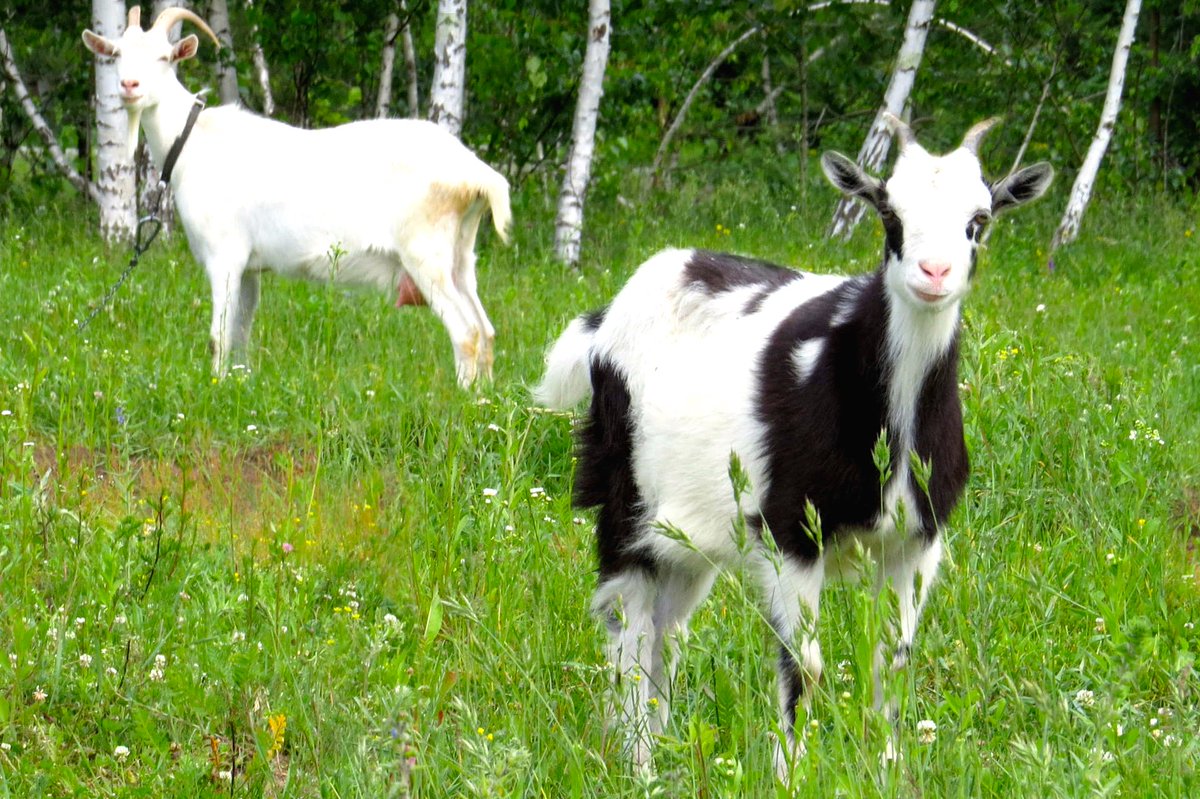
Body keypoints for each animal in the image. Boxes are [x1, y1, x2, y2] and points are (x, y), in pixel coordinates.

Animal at [82, 7, 511, 387]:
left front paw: (214, 387)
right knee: (487, 330)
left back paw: (461, 399)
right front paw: (239, 384)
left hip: (424, 254)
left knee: (466, 332)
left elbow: (218, 336)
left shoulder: (224, 257)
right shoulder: (250, 267)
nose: (129, 87)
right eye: (117, 54)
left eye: (164, 57)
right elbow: (241, 332)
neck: (191, 141)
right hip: (460, 258)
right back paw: (485, 398)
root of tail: (475, 172)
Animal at [535, 115, 1052, 778]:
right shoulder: (790, 532)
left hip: (690, 531)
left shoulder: (918, 540)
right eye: (889, 213)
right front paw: (791, 775)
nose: (934, 273)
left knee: (667, 633)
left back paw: (662, 749)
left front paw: (886, 770)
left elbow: (893, 661)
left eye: (978, 220)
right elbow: (802, 665)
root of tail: (608, 316)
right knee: (629, 623)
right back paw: (640, 765)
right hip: (623, 489)